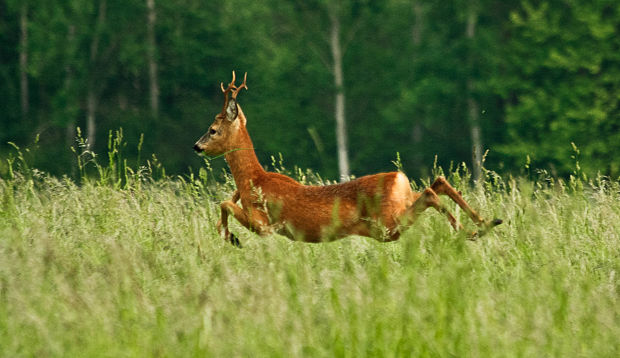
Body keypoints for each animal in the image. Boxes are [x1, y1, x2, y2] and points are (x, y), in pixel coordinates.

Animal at [191, 72, 502, 246]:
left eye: (212, 129)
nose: (196, 146)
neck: (252, 179)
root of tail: (399, 178)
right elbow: (226, 203)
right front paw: (228, 236)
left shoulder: (265, 224)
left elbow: (224, 203)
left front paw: (231, 238)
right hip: (397, 211)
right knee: (437, 181)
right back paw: (487, 223)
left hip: (387, 225)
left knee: (429, 192)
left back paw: (469, 232)